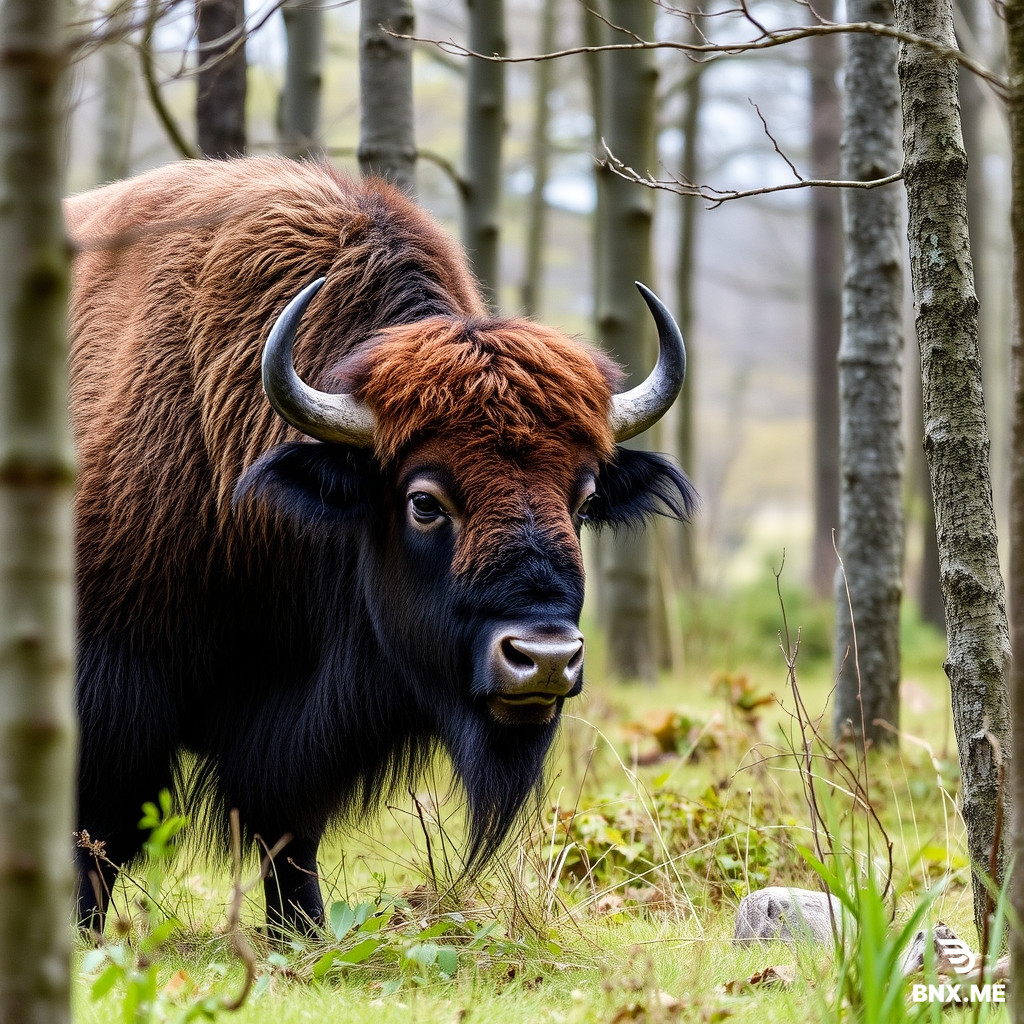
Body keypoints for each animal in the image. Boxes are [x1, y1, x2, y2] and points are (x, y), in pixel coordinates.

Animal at [67, 158, 696, 934]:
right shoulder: (111, 695)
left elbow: (289, 834)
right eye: (424, 502)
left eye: (582, 502)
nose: (544, 659)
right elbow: (97, 839)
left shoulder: (297, 735)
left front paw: (302, 929)